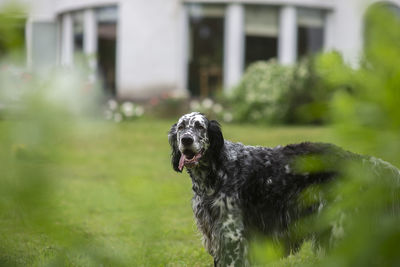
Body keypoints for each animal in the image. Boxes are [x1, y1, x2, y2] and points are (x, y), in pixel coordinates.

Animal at [169, 112, 400, 266]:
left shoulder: (232, 236)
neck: (218, 171)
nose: (186, 140)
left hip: (339, 228)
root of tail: (355, 159)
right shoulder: (216, 236)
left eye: (200, 127)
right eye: (181, 128)